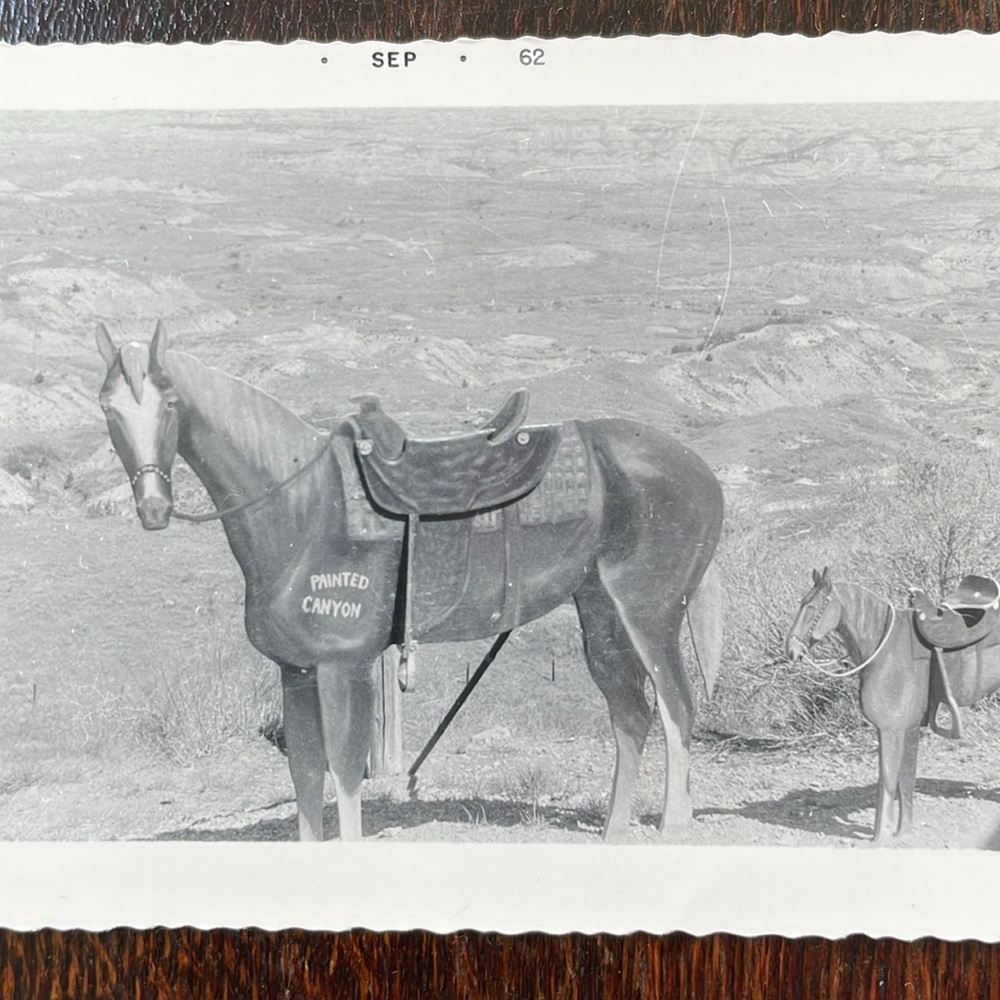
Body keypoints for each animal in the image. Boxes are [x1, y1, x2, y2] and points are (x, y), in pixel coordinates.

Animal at [96, 321, 724, 842]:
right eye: (107, 407)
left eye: (170, 401)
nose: (153, 508)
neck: (303, 503)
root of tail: (700, 470)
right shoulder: (296, 671)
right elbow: (306, 774)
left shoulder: (342, 666)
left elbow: (344, 774)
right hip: (601, 614)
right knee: (631, 714)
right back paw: (615, 832)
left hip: (650, 613)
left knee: (676, 709)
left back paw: (672, 828)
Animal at [786, 568, 1000, 843]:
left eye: (812, 606)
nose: (791, 650)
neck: (884, 648)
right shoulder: (903, 728)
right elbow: (903, 778)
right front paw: (902, 830)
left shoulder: (893, 728)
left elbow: (889, 778)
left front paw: (881, 835)